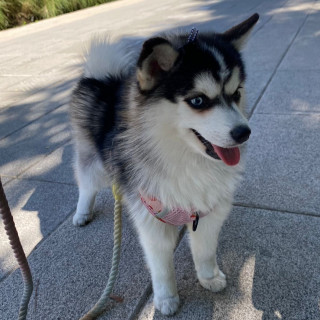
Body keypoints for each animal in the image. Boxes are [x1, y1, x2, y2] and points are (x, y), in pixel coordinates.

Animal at [70, 13, 260, 316]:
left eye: (236, 94)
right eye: (198, 100)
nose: (244, 133)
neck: (185, 159)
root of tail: (105, 79)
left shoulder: (209, 212)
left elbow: (205, 250)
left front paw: (209, 277)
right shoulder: (151, 217)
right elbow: (161, 266)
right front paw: (166, 298)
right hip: (92, 160)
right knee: (86, 183)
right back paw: (81, 212)